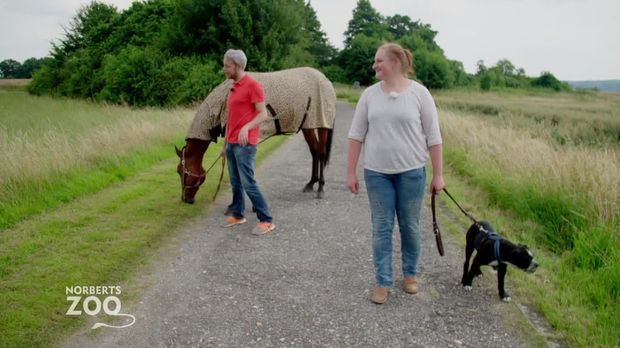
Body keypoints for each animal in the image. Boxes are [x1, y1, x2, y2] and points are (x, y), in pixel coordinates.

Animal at [177, 67, 336, 204]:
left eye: (180, 171)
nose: (185, 199)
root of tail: (325, 80)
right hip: (307, 126)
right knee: (314, 151)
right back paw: (310, 184)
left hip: (321, 123)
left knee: (321, 152)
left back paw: (320, 188)